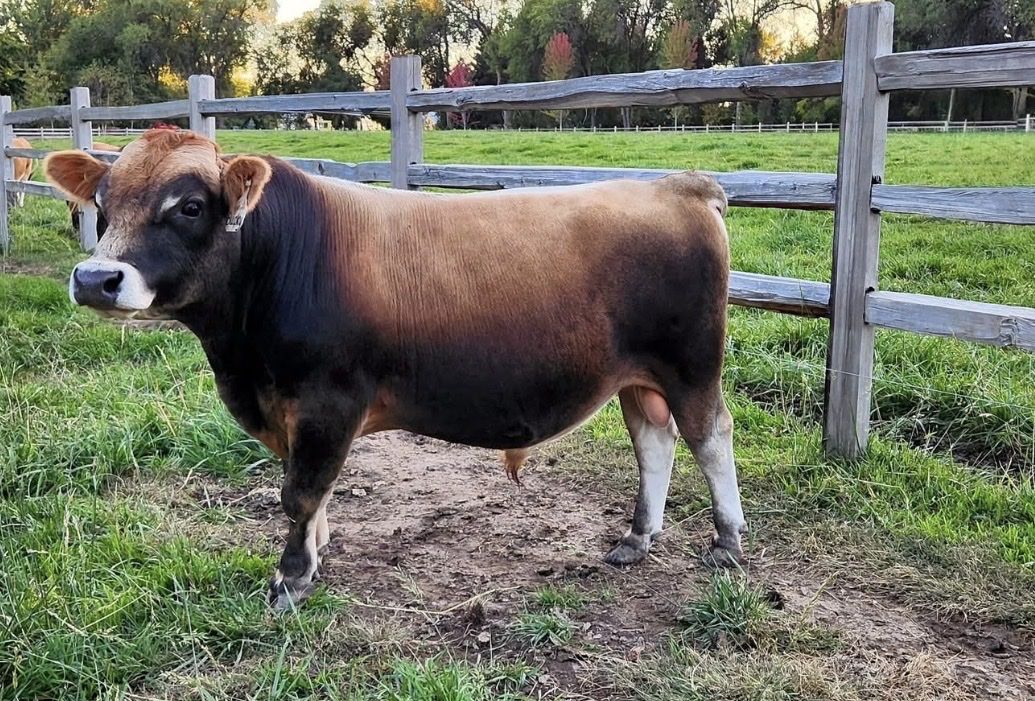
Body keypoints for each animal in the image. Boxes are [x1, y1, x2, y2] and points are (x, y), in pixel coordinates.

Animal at [45, 129, 747, 610]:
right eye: (102, 200)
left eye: (189, 206)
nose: (96, 278)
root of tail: (675, 184)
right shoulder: (287, 408)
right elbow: (311, 489)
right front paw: (316, 551)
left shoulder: (326, 402)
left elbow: (300, 491)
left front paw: (291, 579)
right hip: (637, 378)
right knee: (654, 442)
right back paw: (636, 539)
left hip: (691, 365)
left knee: (710, 436)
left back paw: (727, 543)